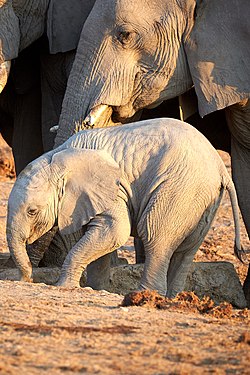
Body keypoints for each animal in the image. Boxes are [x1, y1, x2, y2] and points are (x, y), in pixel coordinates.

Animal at [6, 118, 245, 296]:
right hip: (204, 199)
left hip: (182, 188)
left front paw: (63, 287)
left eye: (32, 211)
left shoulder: (111, 189)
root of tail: (220, 167)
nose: (28, 279)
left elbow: (115, 231)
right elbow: (99, 238)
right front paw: (96, 289)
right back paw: (171, 299)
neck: (57, 157)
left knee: (154, 235)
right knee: (186, 251)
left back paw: (145, 295)